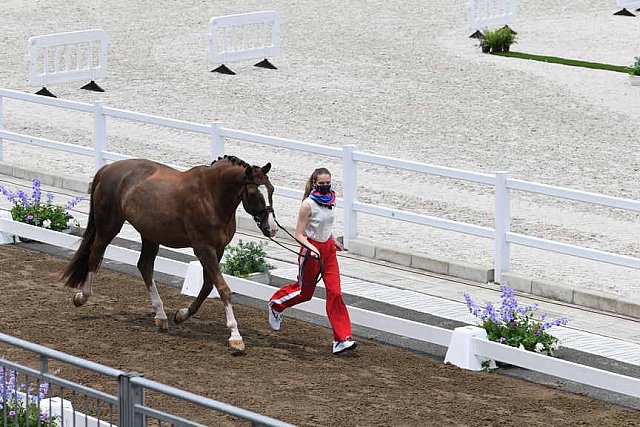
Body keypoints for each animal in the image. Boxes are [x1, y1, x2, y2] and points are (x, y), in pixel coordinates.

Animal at [60, 157, 278, 354]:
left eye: (272, 189)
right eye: (253, 192)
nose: (272, 229)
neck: (211, 196)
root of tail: (107, 168)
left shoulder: (218, 250)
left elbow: (208, 286)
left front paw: (181, 315)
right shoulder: (203, 249)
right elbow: (223, 288)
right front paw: (235, 338)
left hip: (149, 234)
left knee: (144, 266)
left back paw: (161, 316)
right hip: (109, 225)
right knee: (96, 254)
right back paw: (82, 297)